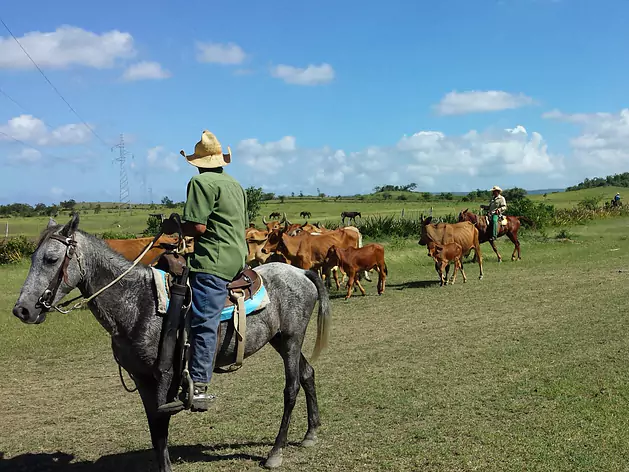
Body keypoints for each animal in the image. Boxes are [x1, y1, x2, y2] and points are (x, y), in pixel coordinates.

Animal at [12, 215, 332, 472]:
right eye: (33, 258)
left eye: (51, 259)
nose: (22, 310)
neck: (137, 302)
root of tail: (301, 272)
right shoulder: (141, 378)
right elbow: (155, 431)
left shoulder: (164, 376)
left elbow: (161, 425)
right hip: (280, 339)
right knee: (308, 373)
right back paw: (311, 433)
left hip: (291, 338)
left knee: (291, 387)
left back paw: (275, 452)